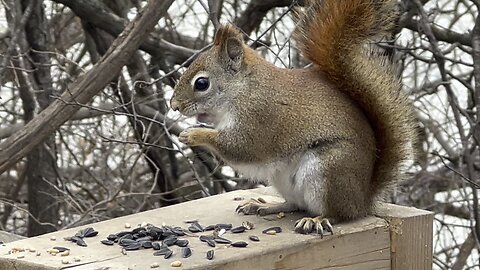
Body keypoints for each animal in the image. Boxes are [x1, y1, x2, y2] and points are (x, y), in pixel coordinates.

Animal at [172, 0, 416, 234]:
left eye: (202, 83)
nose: (174, 106)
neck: (244, 89)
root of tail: (363, 199)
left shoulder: (260, 117)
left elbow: (241, 146)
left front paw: (193, 134)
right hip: (284, 180)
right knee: (294, 205)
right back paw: (264, 206)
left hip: (328, 170)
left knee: (338, 214)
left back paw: (317, 220)